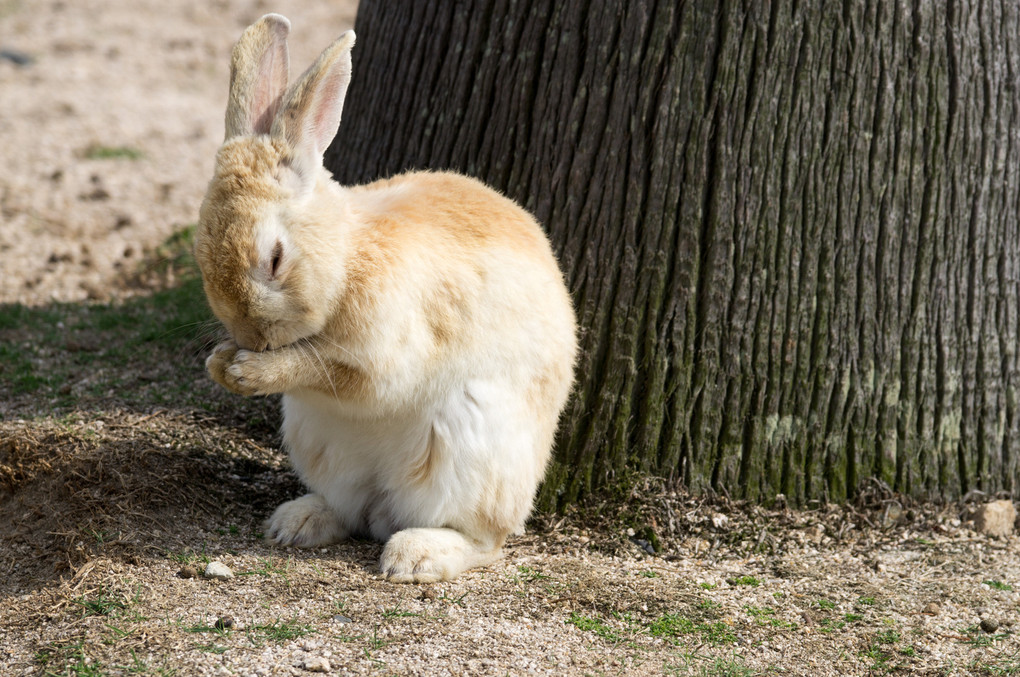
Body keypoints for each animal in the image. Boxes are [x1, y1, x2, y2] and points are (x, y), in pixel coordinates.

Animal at [191, 14, 575, 583]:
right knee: (351, 511)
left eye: (276, 259)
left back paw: (414, 557)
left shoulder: (384, 359)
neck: (346, 258)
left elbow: (336, 374)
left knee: (487, 539)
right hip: (318, 441)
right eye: (201, 250)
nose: (250, 336)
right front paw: (220, 362)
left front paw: (247, 371)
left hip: (471, 448)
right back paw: (296, 523)